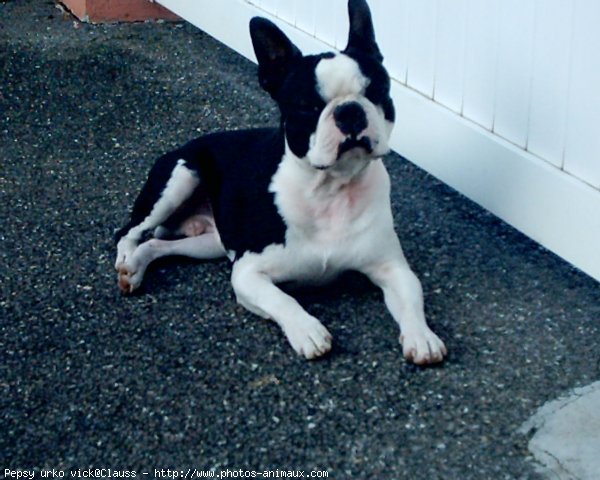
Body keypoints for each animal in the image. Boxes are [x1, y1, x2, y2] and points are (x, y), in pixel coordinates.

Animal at [116, 0, 446, 364]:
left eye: (377, 94)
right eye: (308, 107)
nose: (349, 111)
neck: (329, 189)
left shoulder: (392, 268)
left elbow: (412, 299)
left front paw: (422, 337)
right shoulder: (248, 272)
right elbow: (283, 300)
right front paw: (308, 331)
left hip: (212, 243)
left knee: (158, 246)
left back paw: (137, 265)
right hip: (180, 178)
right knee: (129, 232)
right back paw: (126, 264)